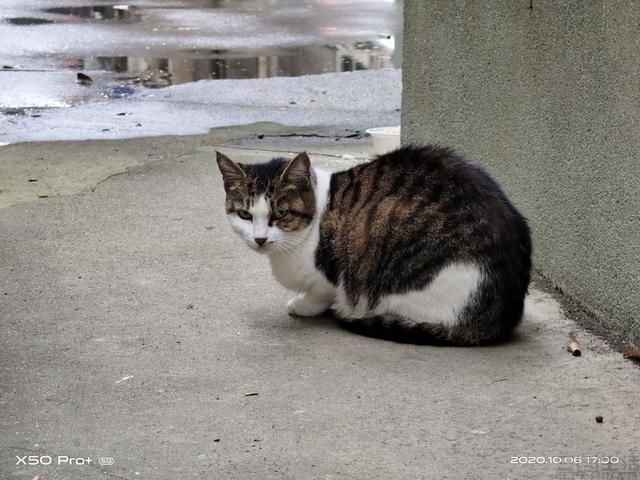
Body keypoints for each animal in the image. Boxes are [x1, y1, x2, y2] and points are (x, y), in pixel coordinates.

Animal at [218, 146, 532, 344]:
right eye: (245, 215)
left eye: (280, 214)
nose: (260, 238)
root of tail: (500, 314)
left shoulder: (330, 274)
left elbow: (321, 291)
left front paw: (303, 305)